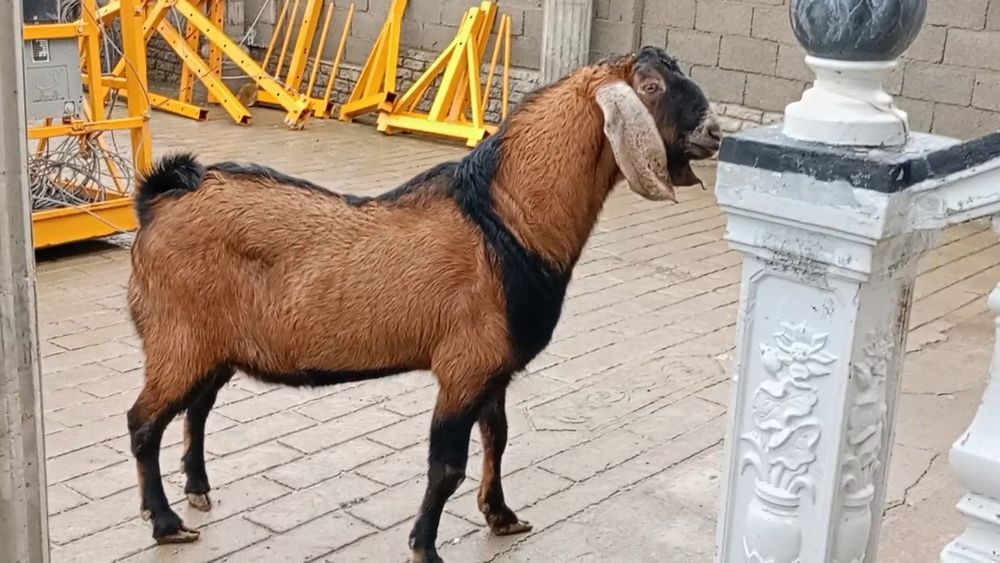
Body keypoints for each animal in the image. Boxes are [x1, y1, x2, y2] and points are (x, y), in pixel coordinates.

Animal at [125, 45, 721, 562]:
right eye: (651, 86)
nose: (714, 133)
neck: (506, 220)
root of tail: (159, 200)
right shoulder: (464, 365)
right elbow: (447, 467)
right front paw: (424, 547)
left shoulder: (494, 369)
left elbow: (498, 438)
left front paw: (502, 517)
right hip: (177, 337)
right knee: (143, 422)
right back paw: (166, 522)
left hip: (213, 343)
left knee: (198, 407)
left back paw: (198, 489)